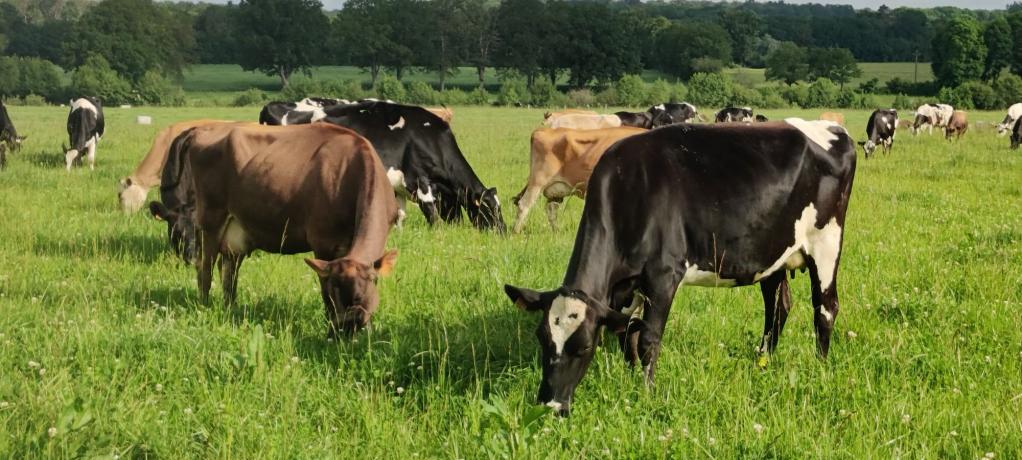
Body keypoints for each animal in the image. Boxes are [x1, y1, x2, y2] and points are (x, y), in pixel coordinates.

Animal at [161, 123, 399, 335]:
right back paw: (205, 306)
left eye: (360, 295)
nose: (344, 330)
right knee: (205, 267)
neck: (351, 172)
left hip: (235, 230)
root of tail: (203, 129)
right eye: (333, 295)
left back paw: (231, 308)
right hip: (211, 218)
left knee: (228, 269)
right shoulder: (322, 241)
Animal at [322, 101, 506, 231]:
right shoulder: (420, 181)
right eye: (488, 208)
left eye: (500, 207)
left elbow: (400, 215)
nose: (503, 231)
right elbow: (432, 217)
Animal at [512, 127, 647, 233]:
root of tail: (544, 130)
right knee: (524, 205)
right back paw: (516, 232)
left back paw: (557, 232)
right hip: (538, 182)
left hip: (556, 189)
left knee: (551, 209)